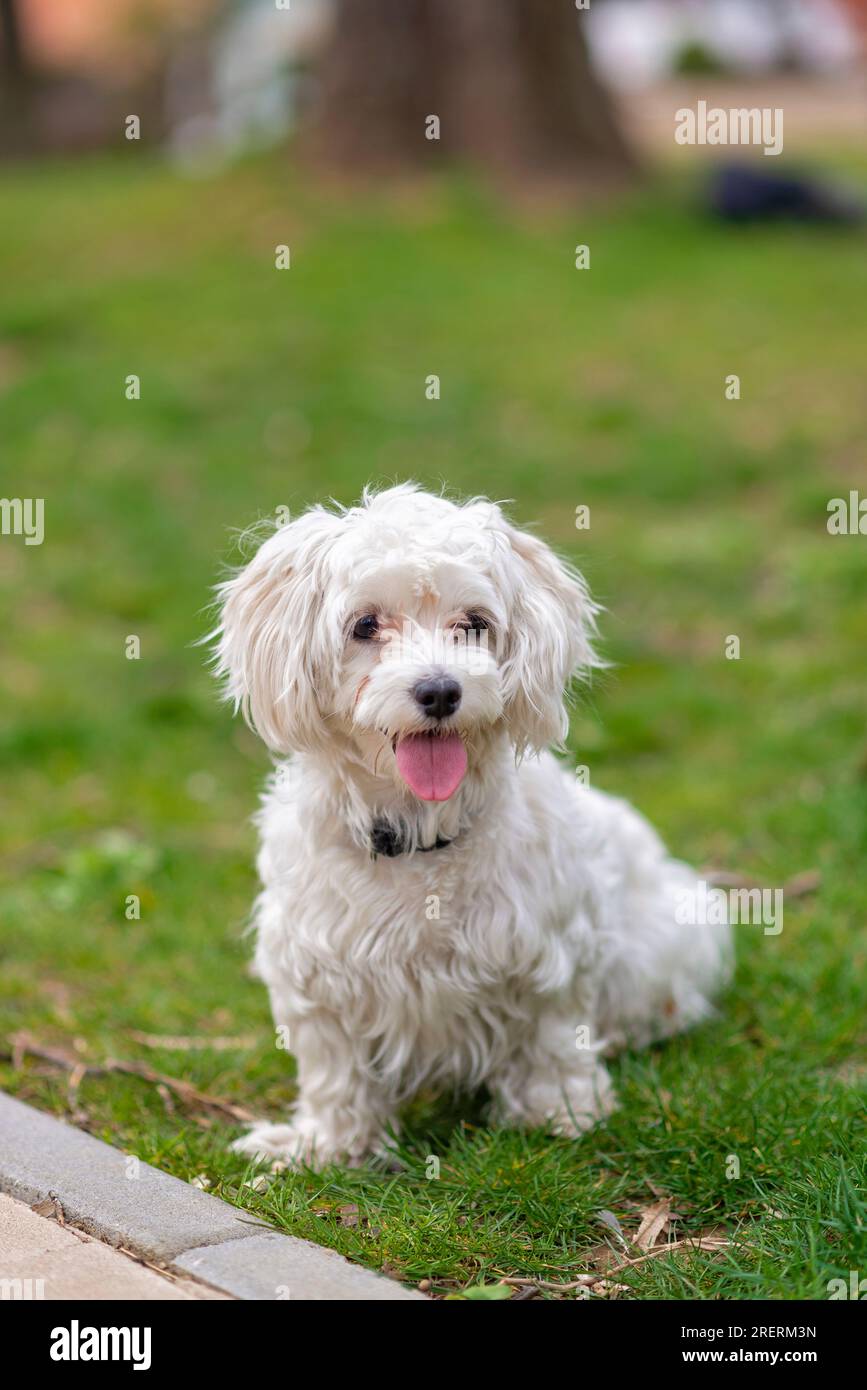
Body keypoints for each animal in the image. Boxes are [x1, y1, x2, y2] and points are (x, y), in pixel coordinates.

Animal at [211, 483, 733, 1167]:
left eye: (474, 624)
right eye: (365, 625)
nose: (439, 691)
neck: (418, 835)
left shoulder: (552, 956)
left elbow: (552, 1041)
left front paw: (559, 1113)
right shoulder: (316, 973)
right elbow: (335, 1070)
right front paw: (327, 1144)